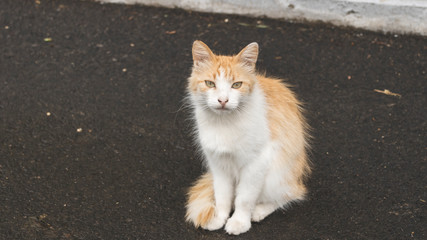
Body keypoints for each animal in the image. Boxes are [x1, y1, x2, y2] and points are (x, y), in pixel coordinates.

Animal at [184, 40, 310, 234]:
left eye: (236, 85)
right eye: (210, 83)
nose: (223, 100)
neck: (224, 123)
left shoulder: (256, 164)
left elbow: (244, 199)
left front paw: (239, 222)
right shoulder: (219, 165)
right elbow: (223, 196)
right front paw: (219, 217)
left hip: (275, 177)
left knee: (290, 194)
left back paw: (258, 211)